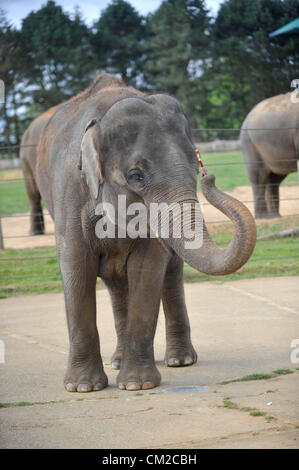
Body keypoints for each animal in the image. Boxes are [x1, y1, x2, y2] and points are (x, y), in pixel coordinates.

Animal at [19, 71, 256, 392]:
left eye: (196, 169)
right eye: (136, 175)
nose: (210, 176)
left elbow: (148, 268)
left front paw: (137, 385)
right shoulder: (70, 193)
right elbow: (76, 266)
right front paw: (83, 388)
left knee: (170, 273)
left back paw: (179, 361)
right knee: (117, 284)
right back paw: (118, 361)